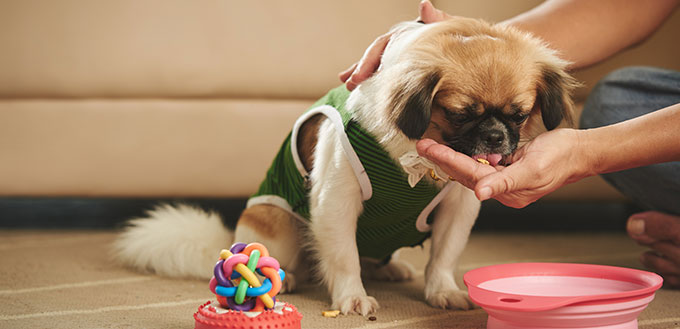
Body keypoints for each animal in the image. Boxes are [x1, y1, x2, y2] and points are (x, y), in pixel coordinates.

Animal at [114, 16, 576, 314]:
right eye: (461, 114)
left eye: (519, 115)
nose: (496, 137)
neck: (414, 162)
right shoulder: (336, 203)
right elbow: (343, 258)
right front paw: (352, 298)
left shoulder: (458, 208)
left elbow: (444, 257)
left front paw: (442, 292)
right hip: (274, 224)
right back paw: (289, 275)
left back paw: (389, 268)